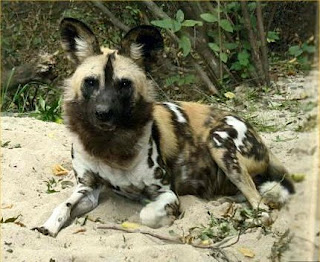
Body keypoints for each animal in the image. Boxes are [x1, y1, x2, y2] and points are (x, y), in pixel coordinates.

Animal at [33, 17, 296, 236]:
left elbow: (146, 214)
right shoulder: (87, 189)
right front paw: (49, 226)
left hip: (219, 142)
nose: (103, 113)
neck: (108, 146)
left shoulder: (166, 192)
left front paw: (166, 217)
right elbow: (63, 205)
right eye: (90, 82)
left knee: (261, 204)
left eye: (124, 84)